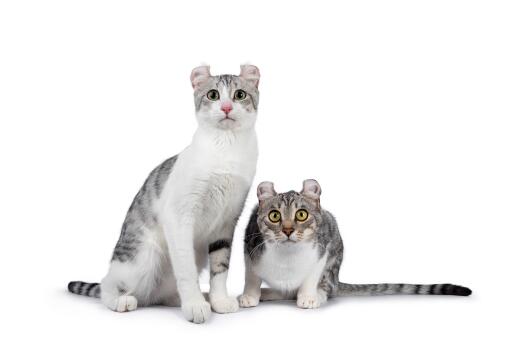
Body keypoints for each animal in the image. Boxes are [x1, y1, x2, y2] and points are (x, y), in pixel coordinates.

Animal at [68, 63, 260, 322]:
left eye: (240, 95)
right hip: (143, 258)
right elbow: (187, 269)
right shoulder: (179, 216)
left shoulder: (227, 221)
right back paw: (122, 300)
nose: (227, 107)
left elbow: (221, 267)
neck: (226, 146)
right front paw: (194, 305)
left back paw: (193, 298)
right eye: (213, 95)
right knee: (107, 284)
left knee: (163, 294)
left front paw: (219, 300)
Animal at [240, 179, 472, 310]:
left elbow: (311, 277)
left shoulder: (324, 247)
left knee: (325, 287)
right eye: (274, 216)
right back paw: (266, 293)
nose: (287, 230)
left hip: (334, 255)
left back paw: (318, 294)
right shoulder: (249, 246)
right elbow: (251, 277)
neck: (287, 256)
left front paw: (308, 297)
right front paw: (250, 295)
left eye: (301, 214)